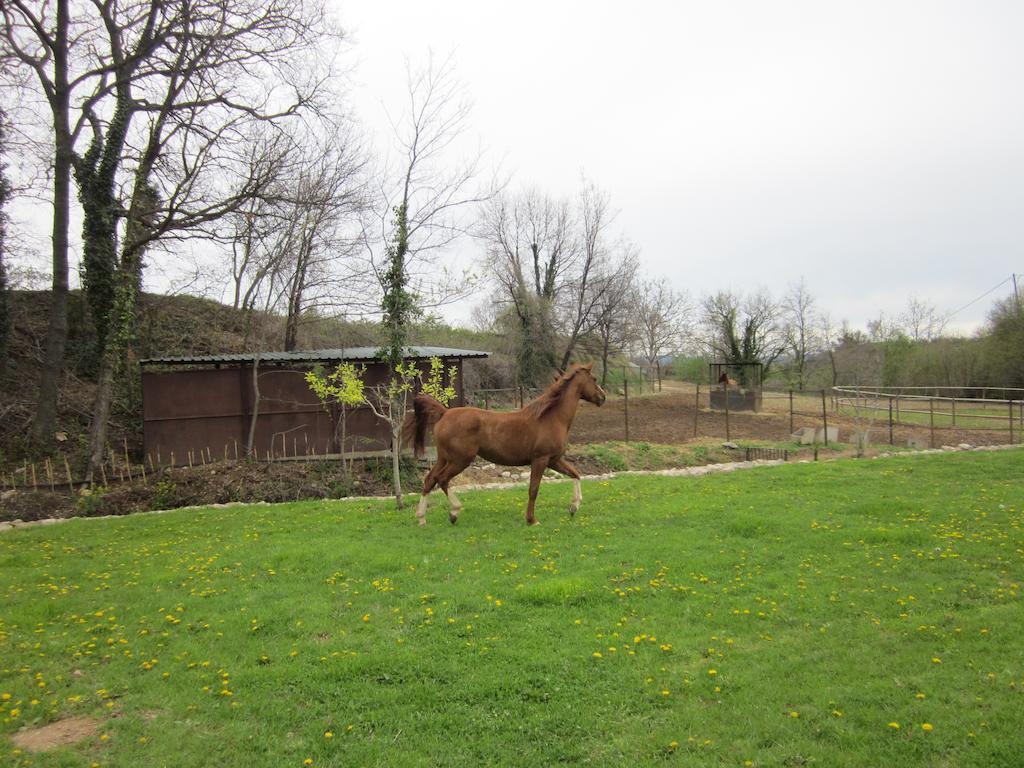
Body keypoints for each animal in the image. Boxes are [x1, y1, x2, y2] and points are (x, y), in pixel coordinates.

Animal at [401, 364, 606, 528]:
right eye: (594, 379)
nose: (602, 397)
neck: (551, 417)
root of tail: (444, 413)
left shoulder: (553, 460)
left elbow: (575, 473)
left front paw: (574, 506)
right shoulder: (540, 460)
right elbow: (533, 490)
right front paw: (532, 520)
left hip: (444, 458)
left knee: (430, 479)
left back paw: (421, 518)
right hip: (460, 460)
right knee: (442, 479)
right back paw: (454, 512)